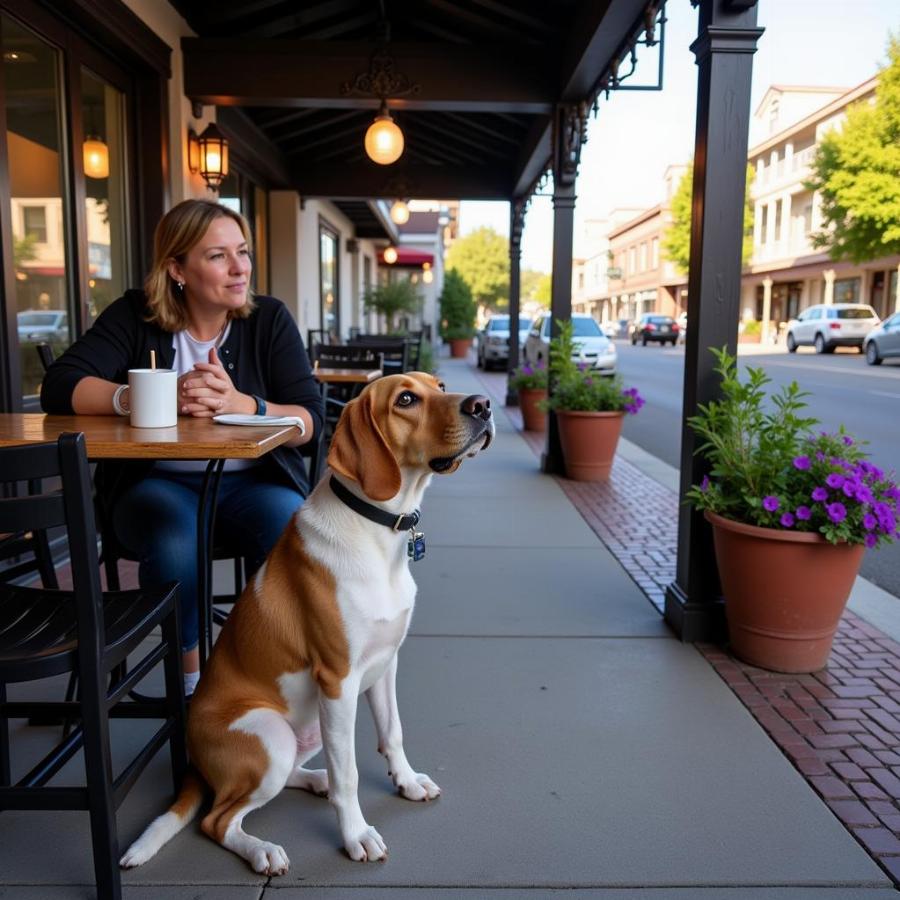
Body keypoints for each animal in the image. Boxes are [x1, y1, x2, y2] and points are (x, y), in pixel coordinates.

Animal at [119, 370, 496, 872]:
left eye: (439, 385)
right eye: (406, 400)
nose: (483, 405)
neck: (378, 531)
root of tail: (195, 762)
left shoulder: (385, 663)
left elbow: (392, 732)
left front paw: (407, 781)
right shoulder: (338, 680)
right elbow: (350, 775)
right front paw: (356, 835)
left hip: (312, 728)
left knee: (283, 782)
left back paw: (315, 780)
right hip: (275, 737)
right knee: (218, 820)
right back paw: (262, 850)